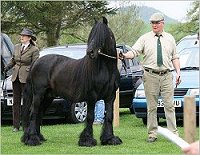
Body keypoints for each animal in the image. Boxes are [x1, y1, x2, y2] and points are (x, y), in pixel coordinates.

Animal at [21, 17, 122, 147]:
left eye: (102, 35)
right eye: (92, 34)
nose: (90, 52)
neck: (106, 69)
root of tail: (36, 62)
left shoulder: (110, 97)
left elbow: (109, 117)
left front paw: (109, 139)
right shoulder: (92, 96)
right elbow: (90, 116)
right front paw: (87, 140)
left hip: (48, 96)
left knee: (39, 113)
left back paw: (38, 137)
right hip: (38, 94)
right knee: (33, 113)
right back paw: (32, 139)